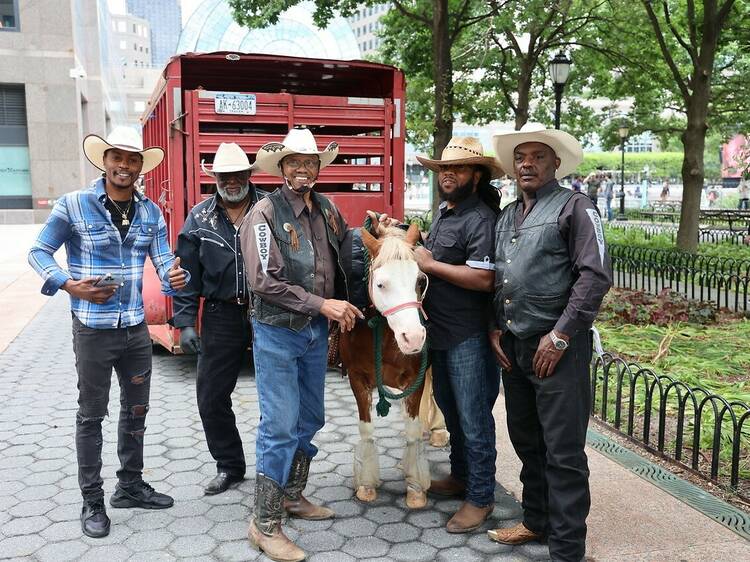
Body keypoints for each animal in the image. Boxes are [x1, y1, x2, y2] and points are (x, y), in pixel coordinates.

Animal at [340, 222, 432, 508]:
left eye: (420, 280)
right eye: (380, 284)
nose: (413, 338)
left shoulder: (417, 378)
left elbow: (412, 431)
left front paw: (415, 487)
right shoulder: (357, 378)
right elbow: (366, 430)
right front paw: (366, 485)